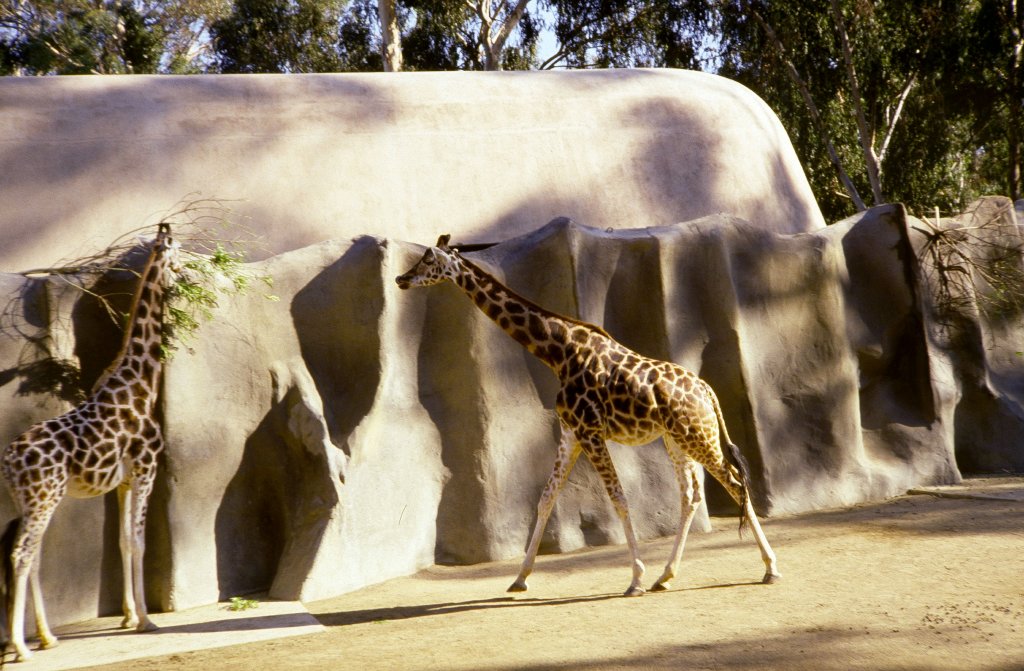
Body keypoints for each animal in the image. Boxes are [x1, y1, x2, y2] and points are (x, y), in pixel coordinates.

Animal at [1, 224, 181, 662]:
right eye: (181, 252)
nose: (186, 273)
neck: (140, 384)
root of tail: (9, 460)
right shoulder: (147, 469)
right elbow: (138, 542)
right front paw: (147, 620)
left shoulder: (123, 482)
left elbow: (121, 541)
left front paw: (129, 617)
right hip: (44, 498)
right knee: (21, 554)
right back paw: (22, 647)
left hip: (30, 500)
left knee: (32, 556)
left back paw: (45, 637)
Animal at [396, 235, 780, 596]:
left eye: (428, 258)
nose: (401, 278)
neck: (559, 351)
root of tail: (707, 390)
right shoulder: (571, 432)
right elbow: (545, 499)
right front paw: (520, 578)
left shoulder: (590, 431)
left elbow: (619, 499)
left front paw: (635, 579)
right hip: (677, 439)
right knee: (691, 496)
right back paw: (666, 576)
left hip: (698, 436)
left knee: (734, 482)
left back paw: (770, 568)